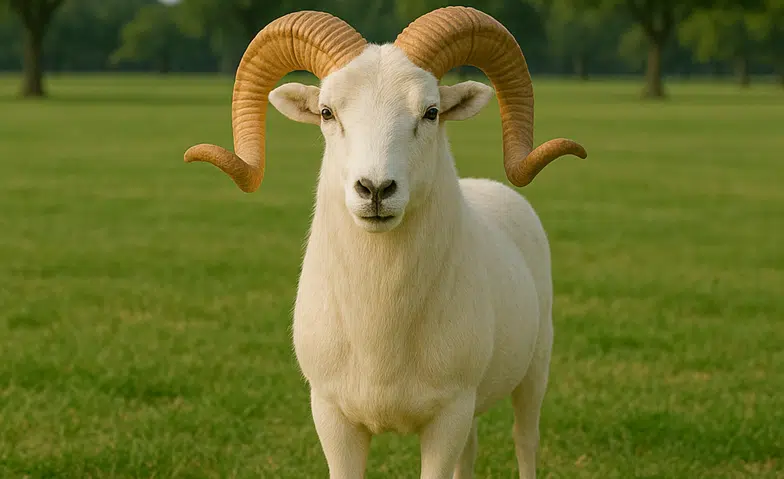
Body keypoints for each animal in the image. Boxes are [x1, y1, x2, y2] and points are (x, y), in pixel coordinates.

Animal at [183, 7, 587, 479]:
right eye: (327, 112)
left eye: (430, 111)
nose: (375, 189)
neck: (380, 330)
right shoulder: (334, 419)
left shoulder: (446, 418)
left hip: (533, 375)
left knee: (525, 442)